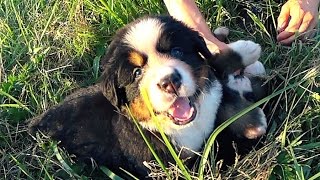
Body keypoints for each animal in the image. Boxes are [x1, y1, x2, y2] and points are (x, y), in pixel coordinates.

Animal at [28, 15, 268, 179]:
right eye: (137, 73)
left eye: (177, 51)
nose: (169, 81)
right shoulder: (187, 164)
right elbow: (220, 132)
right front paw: (253, 121)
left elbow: (212, 66)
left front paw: (242, 51)